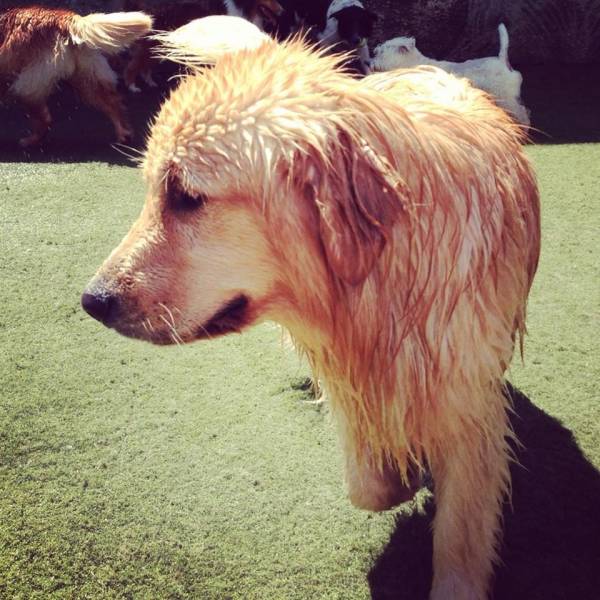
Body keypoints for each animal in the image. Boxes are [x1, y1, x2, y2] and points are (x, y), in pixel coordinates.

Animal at [0, 7, 150, 148]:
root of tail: (65, 18)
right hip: (85, 78)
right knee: (113, 103)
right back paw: (124, 133)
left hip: (27, 84)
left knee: (45, 119)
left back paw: (29, 141)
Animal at [370, 24, 528, 126]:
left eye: (381, 53)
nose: (371, 63)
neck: (413, 63)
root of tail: (502, 60)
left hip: (506, 97)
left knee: (522, 112)